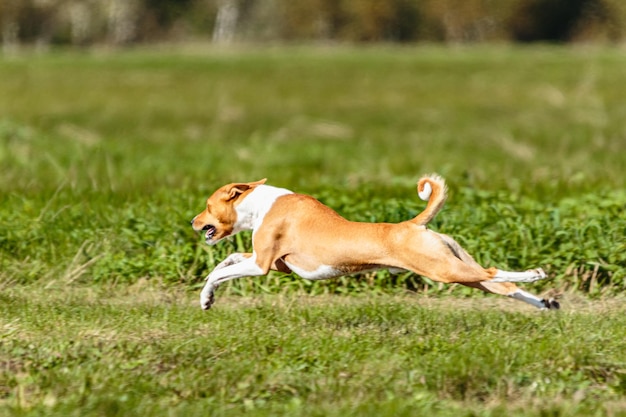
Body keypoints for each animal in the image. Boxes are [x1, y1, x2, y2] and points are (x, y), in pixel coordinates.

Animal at [189, 174, 556, 310]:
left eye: (207, 205)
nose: (193, 222)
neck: (260, 205)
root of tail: (412, 224)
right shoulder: (273, 264)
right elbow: (227, 261)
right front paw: (209, 295)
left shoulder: (263, 264)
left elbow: (218, 273)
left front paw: (206, 298)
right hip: (458, 267)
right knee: (501, 285)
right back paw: (545, 302)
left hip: (444, 271)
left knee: (495, 273)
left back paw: (535, 274)